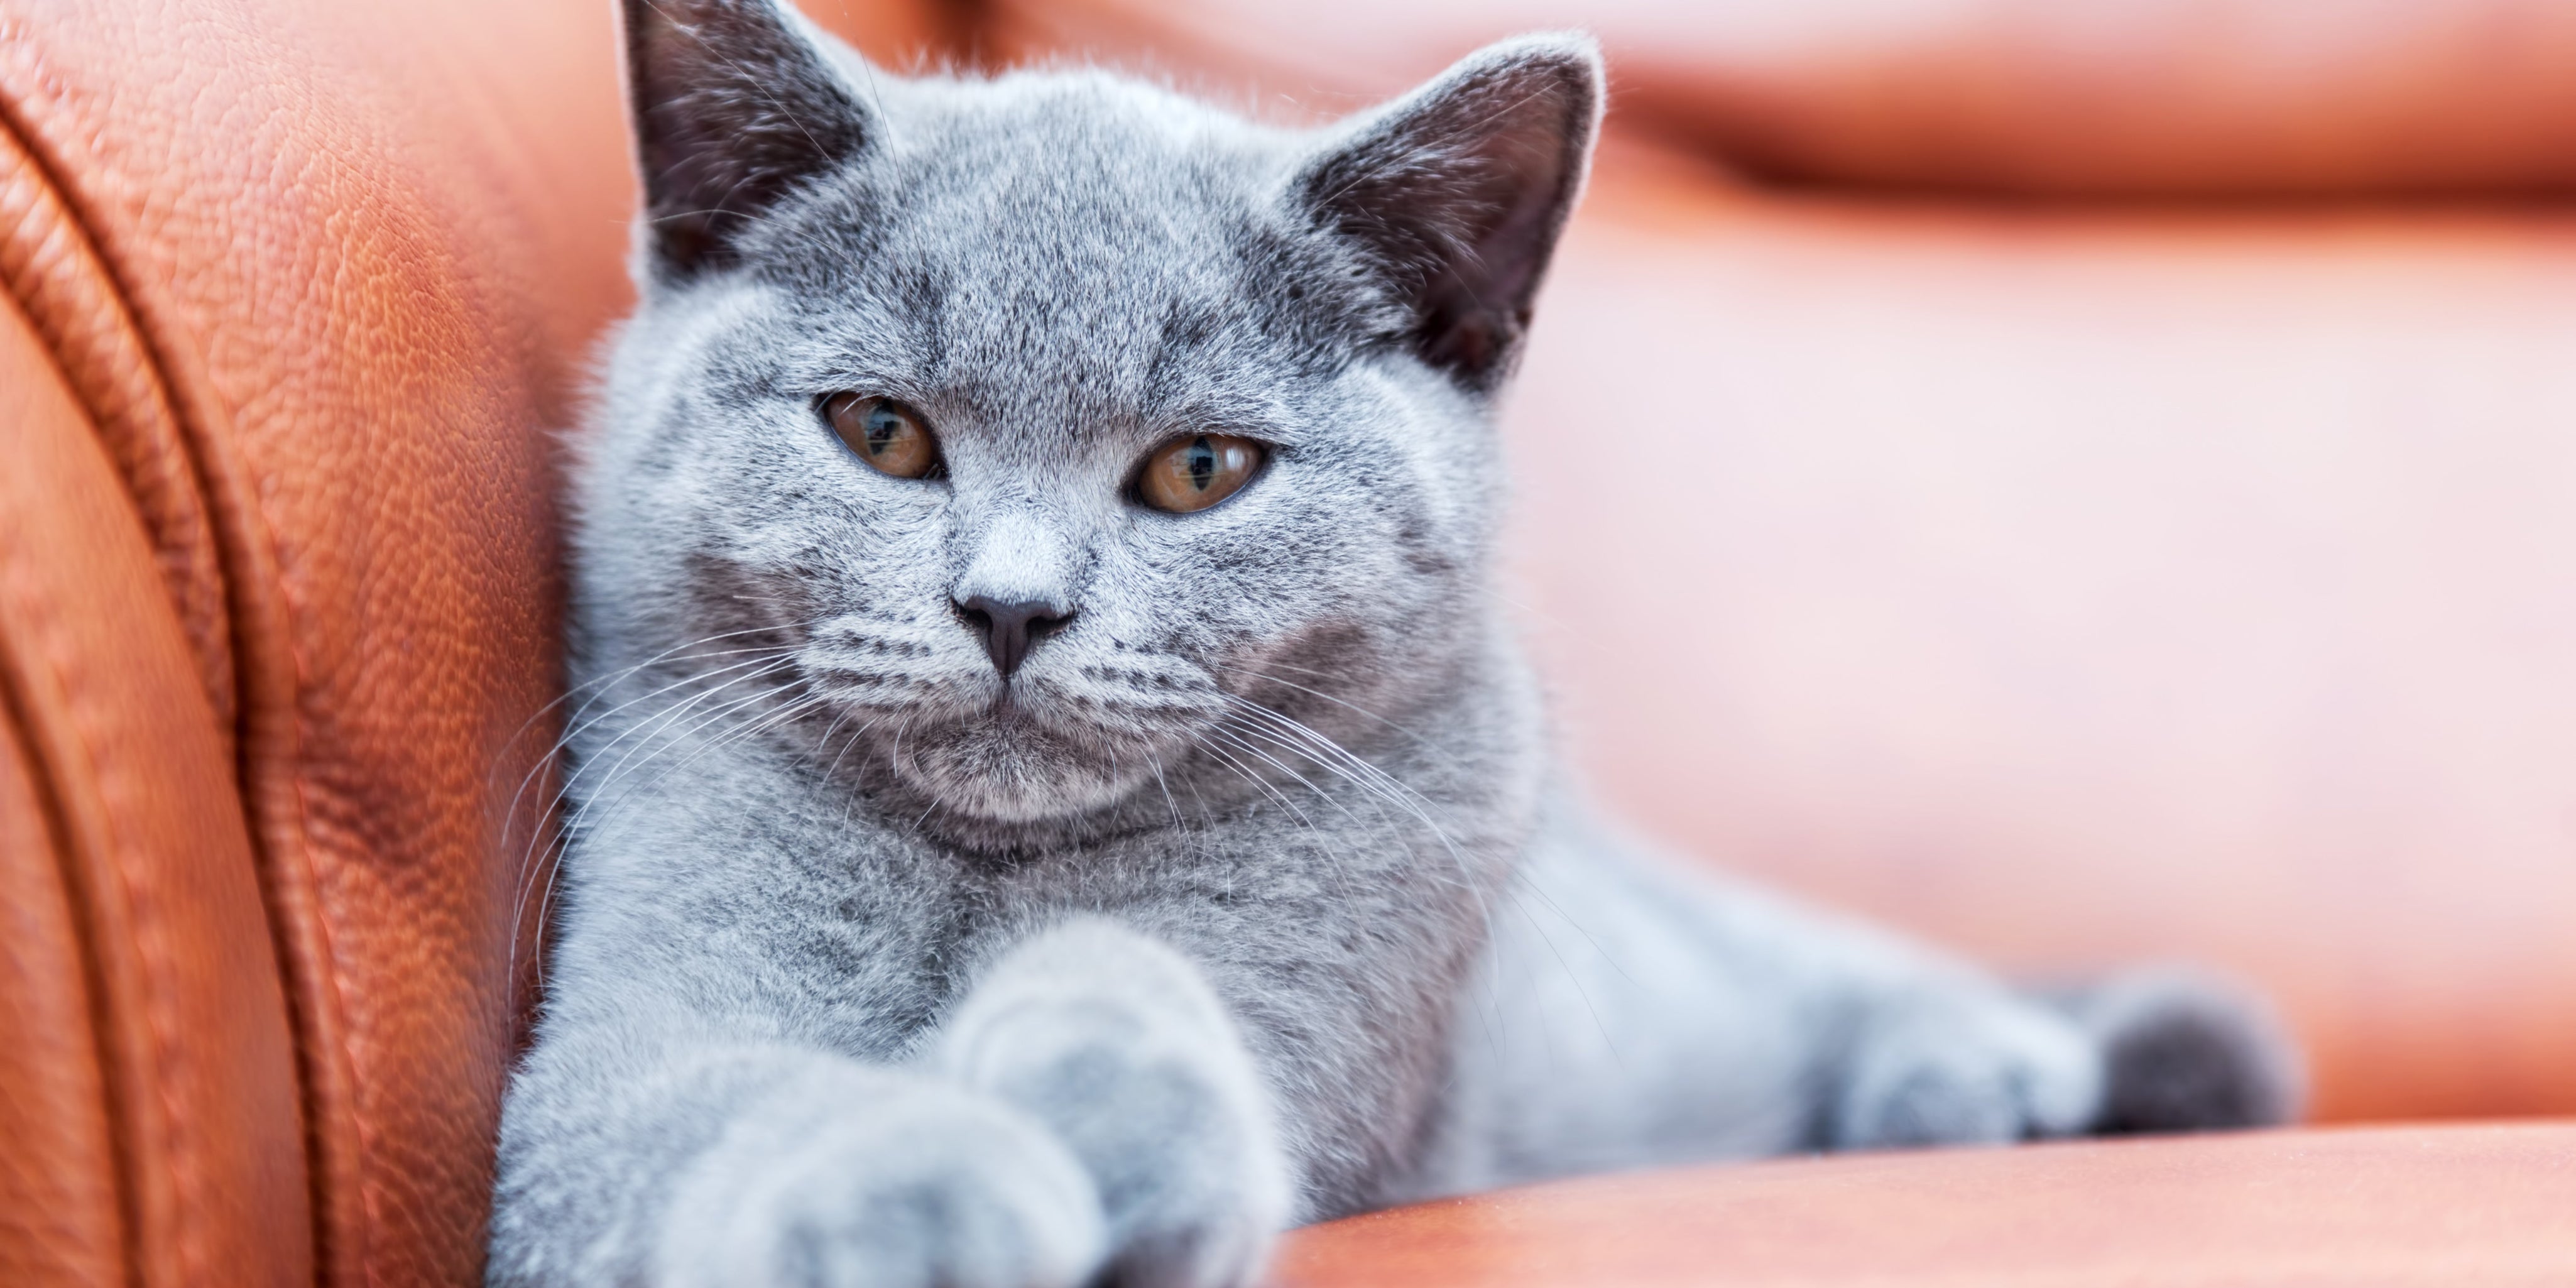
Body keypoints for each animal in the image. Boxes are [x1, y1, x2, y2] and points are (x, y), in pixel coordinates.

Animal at [484, 5, 2298, 1282]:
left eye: (1198, 470)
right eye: (880, 432)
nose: (1009, 606)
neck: (983, 872)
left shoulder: (1335, 986)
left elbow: (1142, 972)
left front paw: (1115, 1116)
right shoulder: (599, 1059)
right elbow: (706, 1098)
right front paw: (926, 1185)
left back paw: (1993, 1067)